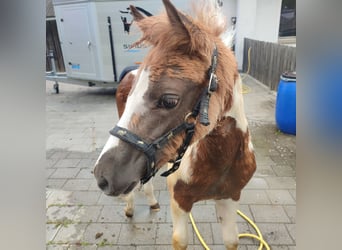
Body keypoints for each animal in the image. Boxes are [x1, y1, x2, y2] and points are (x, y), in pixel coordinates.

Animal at [95, 0, 255, 249]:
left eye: (169, 100)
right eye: (131, 95)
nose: (102, 176)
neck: (220, 161)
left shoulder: (230, 198)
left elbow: (232, 240)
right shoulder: (179, 201)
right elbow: (180, 240)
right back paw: (133, 207)